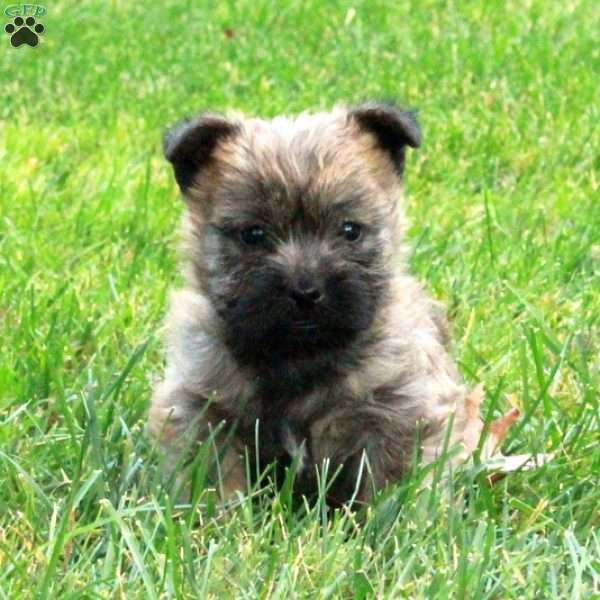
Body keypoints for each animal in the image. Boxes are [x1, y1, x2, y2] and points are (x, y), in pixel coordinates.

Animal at [150, 104, 468, 506]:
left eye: (350, 230)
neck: (298, 356)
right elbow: (215, 480)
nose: (305, 291)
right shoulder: (201, 410)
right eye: (253, 234)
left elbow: (393, 481)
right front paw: (219, 518)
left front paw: (394, 519)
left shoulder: (401, 409)